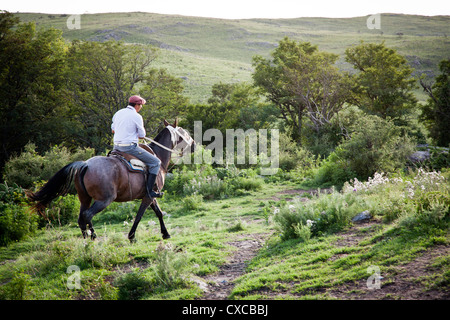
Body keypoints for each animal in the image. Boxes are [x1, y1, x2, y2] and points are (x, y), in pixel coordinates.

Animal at [27, 119, 195, 241]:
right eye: (184, 133)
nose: (193, 143)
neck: (157, 156)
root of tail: (85, 165)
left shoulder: (150, 196)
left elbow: (159, 213)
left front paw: (165, 233)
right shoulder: (148, 197)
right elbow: (140, 215)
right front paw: (131, 236)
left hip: (84, 198)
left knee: (81, 218)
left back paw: (85, 239)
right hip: (104, 199)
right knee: (88, 215)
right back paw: (93, 237)